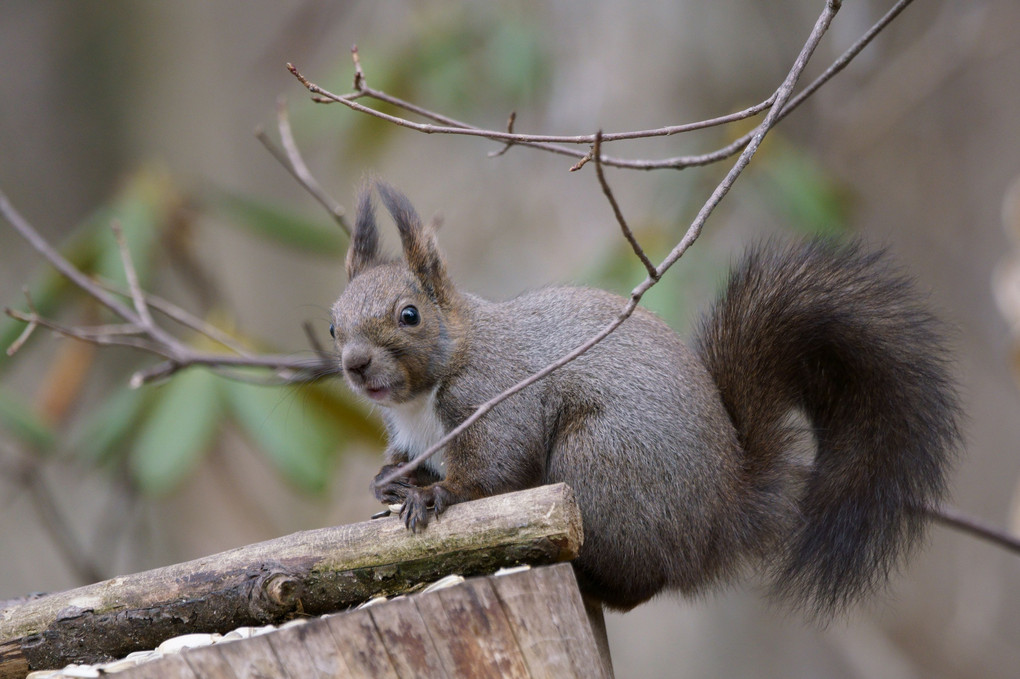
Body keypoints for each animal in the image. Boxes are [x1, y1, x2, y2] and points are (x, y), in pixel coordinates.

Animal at [330, 182, 958, 615]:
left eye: (410, 316)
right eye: (334, 325)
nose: (355, 364)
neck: (424, 396)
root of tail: (718, 517)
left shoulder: (495, 398)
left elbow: (493, 470)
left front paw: (436, 496)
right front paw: (389, 482)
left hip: (600, 462)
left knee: (640, 585)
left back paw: (594, 582)